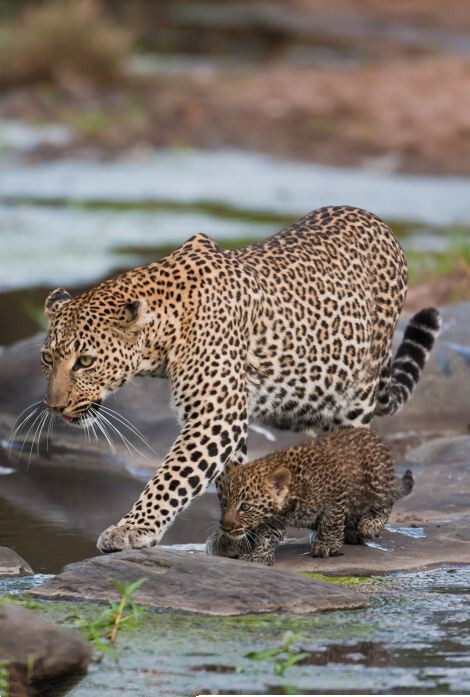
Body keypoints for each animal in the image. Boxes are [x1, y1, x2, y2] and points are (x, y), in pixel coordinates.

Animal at [40, 204, 440, 552]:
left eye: (85, 361)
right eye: (47, 358)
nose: (54, 406)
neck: (163, 333)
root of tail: (375, 219)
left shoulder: (216, 416)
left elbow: (172, 478)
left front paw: (132, 528)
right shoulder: (228, 416)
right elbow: (231, 477)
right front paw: (235, 535)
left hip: (357, 390)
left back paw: (364, 522)